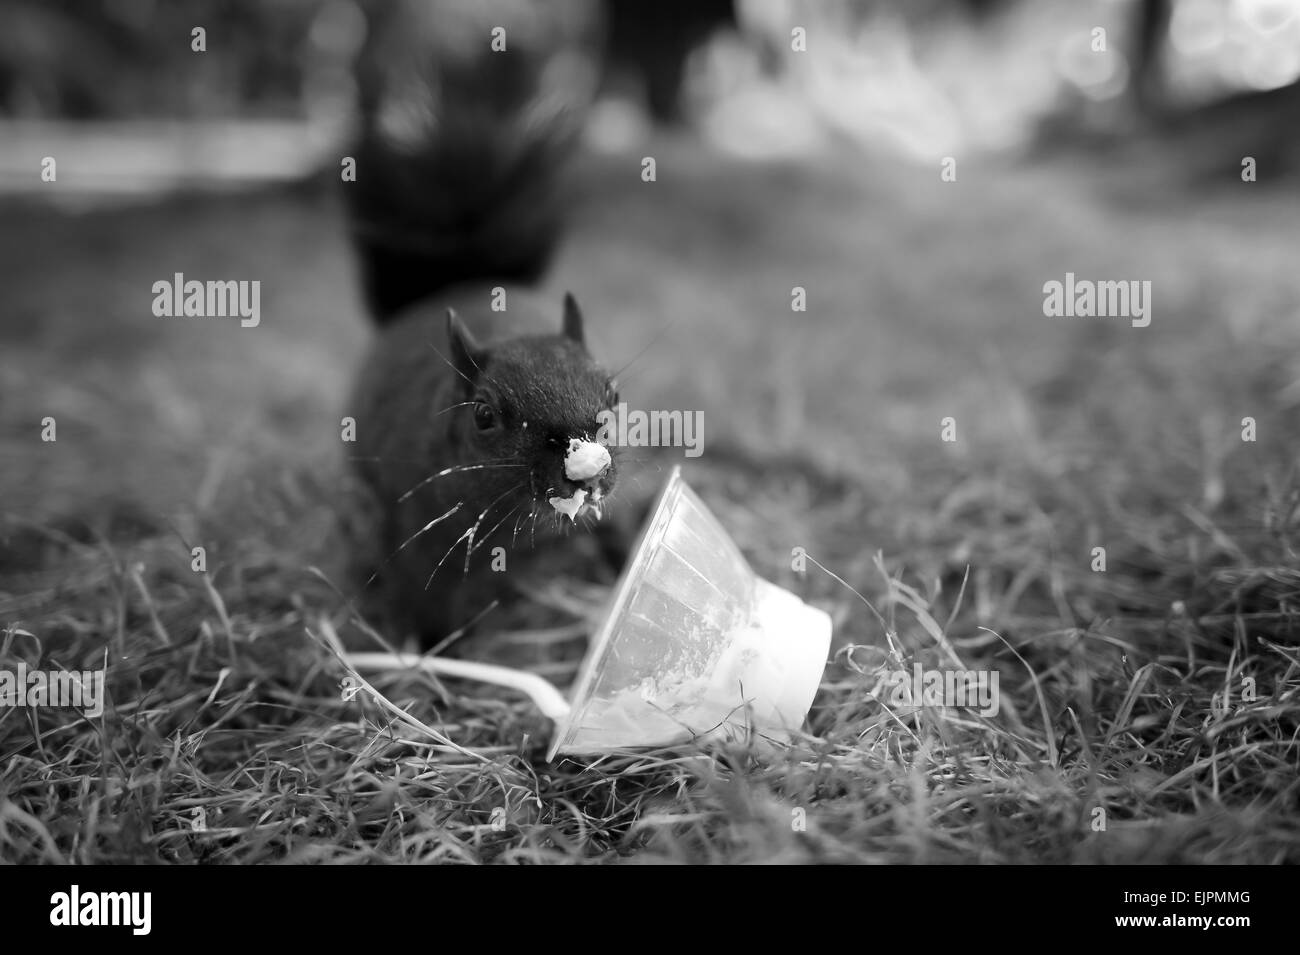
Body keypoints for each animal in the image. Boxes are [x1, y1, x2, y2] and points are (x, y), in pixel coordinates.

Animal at [340, 0, 624, 647]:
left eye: (614, 396)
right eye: (484, 416)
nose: (581, 470)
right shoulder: (416, 536)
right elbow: (426, 604)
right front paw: (433, 654)